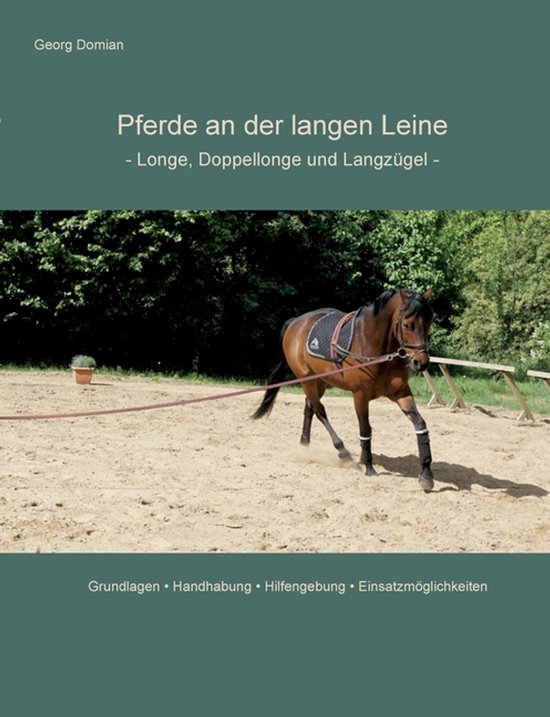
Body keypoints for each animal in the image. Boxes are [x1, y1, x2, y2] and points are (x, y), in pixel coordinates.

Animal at [252, 288, 435, 491]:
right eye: (407, 325)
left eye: (429, 322)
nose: (421, 363)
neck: (374, 347)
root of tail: (295, 322)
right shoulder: (360, 396)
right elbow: (365, 429)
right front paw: (368, 466)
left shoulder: (401, 393)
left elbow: (421, 425)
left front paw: (426, 474)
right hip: (307, 381)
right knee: (319, 410)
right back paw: (342, 451)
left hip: (319, 382)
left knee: (309, 408)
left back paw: (305, 445)